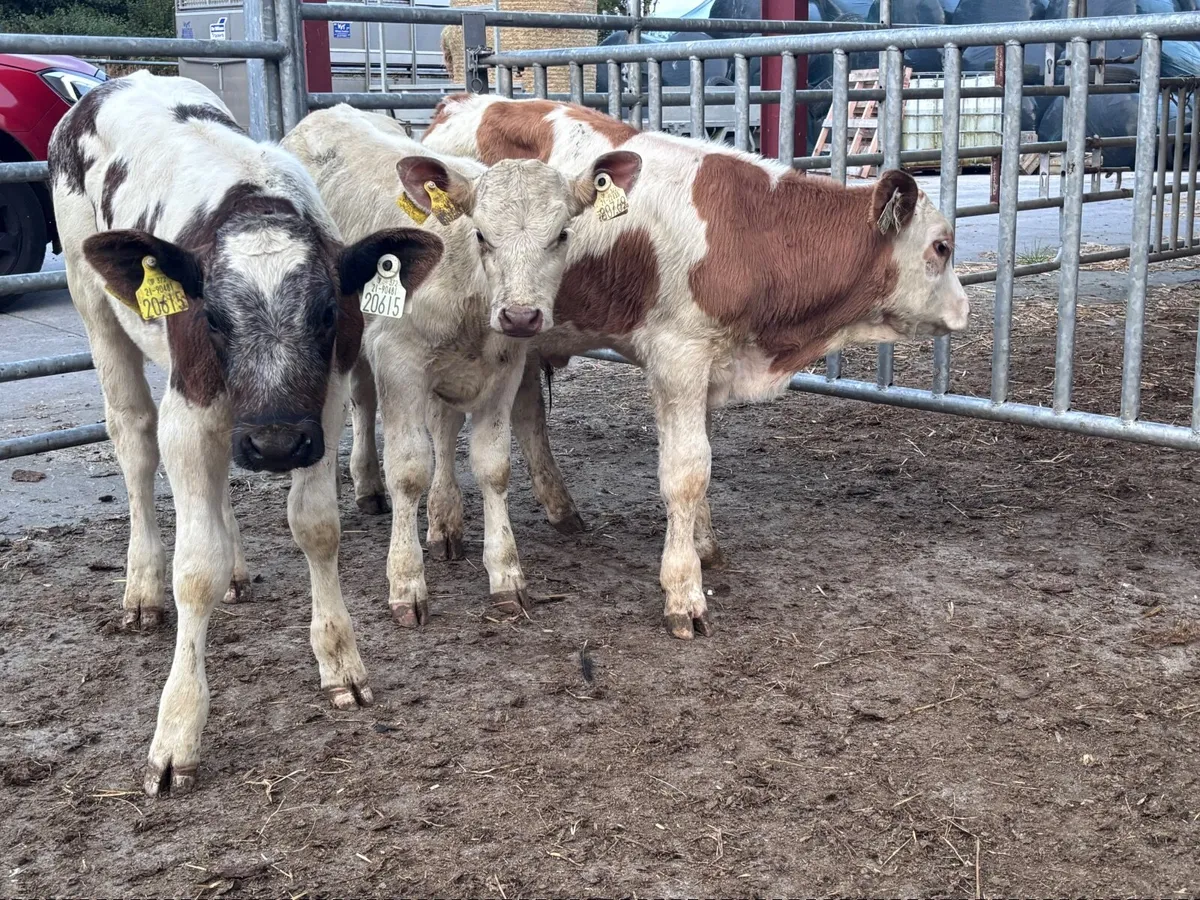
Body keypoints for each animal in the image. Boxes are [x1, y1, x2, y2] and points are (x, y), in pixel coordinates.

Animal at [48, 72, 443, 796]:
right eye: (213, 317)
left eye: (327, 312)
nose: (276, 445)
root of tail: (118, 81)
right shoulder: (190, 409)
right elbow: (193, 568)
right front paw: (177, 728)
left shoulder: (322, 408)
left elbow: (316, 527)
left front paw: (340, 661)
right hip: (95, 309)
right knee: (133, 440)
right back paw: (141, 587)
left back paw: (235, 566)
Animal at [281, 104, 640, 626]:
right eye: (482, 234)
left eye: (561, 235)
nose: (520, 315)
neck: (466, 284)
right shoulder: (397, 359)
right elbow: (409, 469)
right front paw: (406, 582)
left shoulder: (504, 369)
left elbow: (492, 466)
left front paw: (505, 573)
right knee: (364, 405)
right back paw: (368, 486)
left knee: (439, 425)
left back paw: (443, 521)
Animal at [421, 94, 970, 640]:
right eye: (942, 246)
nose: (963, 310)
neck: (753, 232)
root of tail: (463, 101)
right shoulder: (678, 357)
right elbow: (685, 471)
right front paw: (684, 591)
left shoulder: (709, 362)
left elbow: (702, 461)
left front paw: (704, 545)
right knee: (445, 421)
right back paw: (445, 523)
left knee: (527, 413)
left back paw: (559, 508)